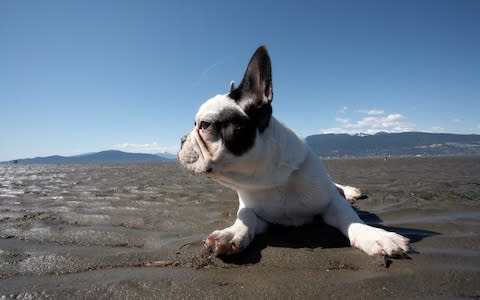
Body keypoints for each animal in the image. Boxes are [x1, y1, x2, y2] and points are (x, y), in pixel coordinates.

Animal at [178, 45, 410, 256]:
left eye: (204, 125)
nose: (181, 139)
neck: (269, 179)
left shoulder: (330, 203)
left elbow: (351, 218)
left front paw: (375, 235)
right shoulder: (254, 211)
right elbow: (245, 217)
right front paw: (230, 233)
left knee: (338, 188)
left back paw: (350, 191)